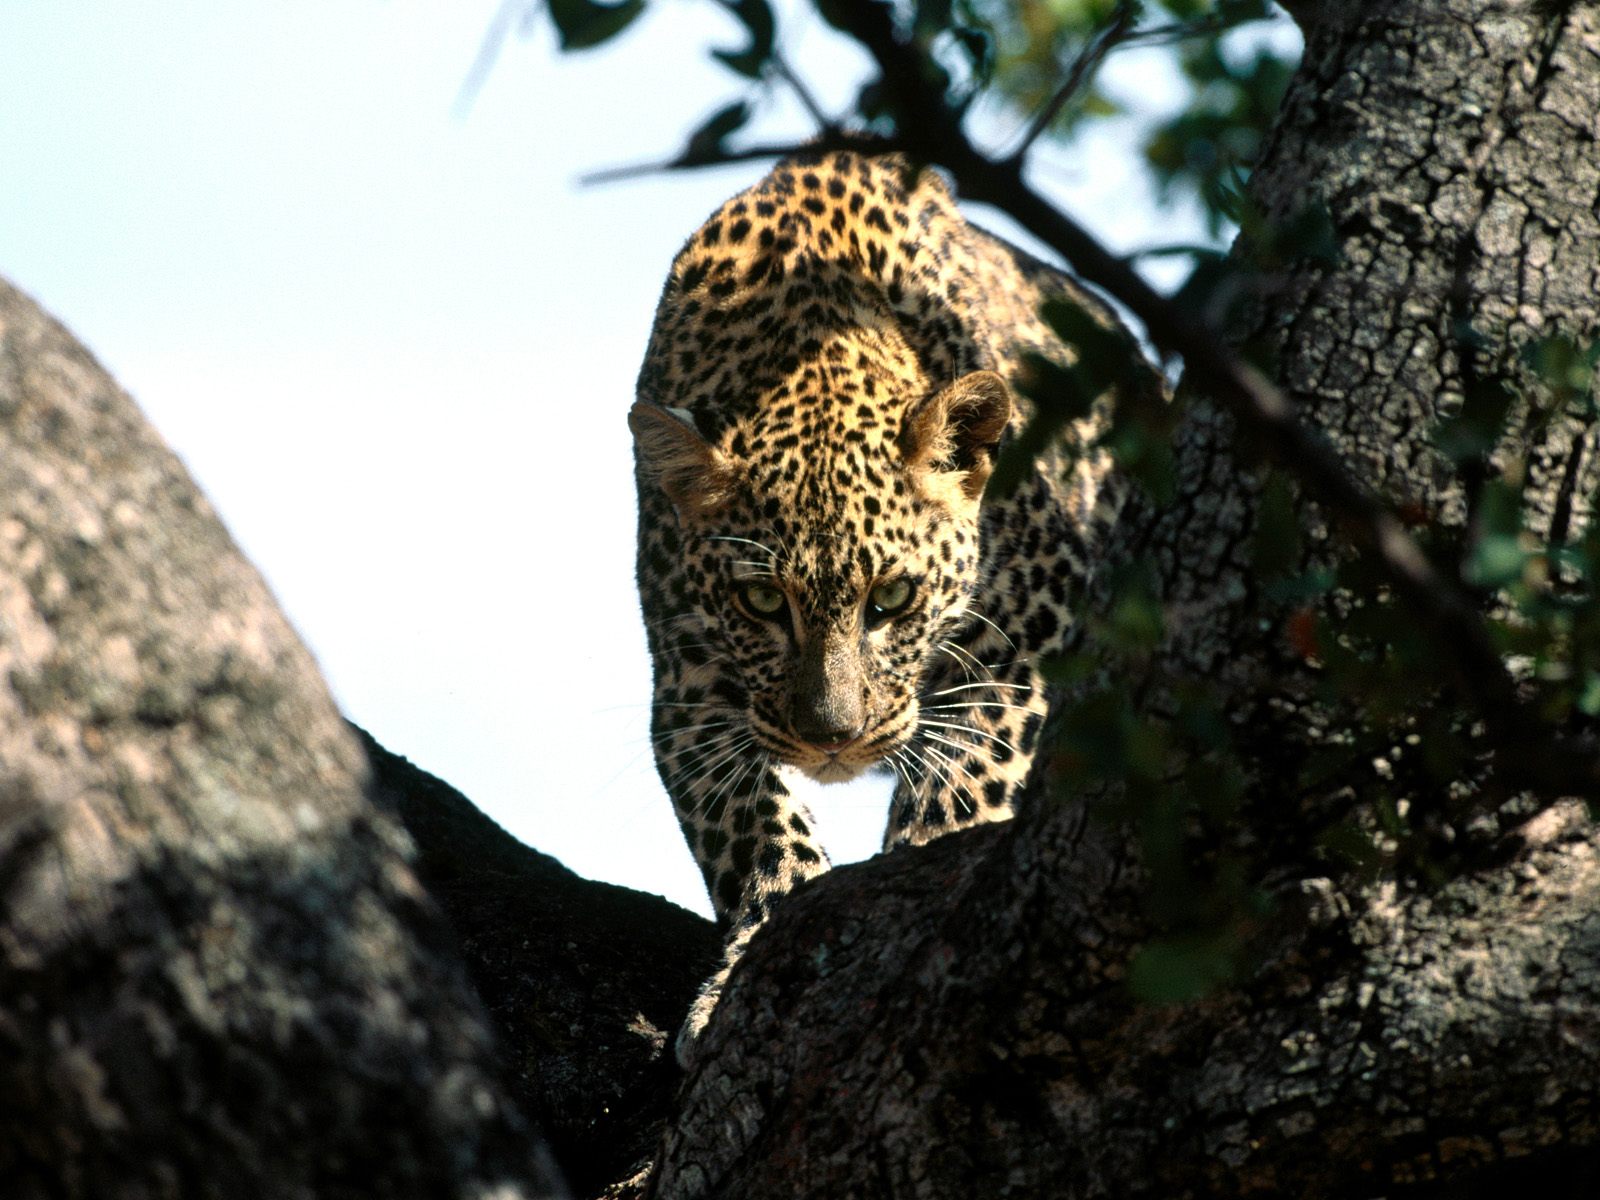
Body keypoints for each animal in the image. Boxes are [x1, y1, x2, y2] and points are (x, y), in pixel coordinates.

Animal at [630, 148, 1145, 1062]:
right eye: (760, 601)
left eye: (894, 597)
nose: (832, 741)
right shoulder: (688, 690)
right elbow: (753, 829)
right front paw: (750, 959)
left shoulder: (1025, 641)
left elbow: (963, 787)